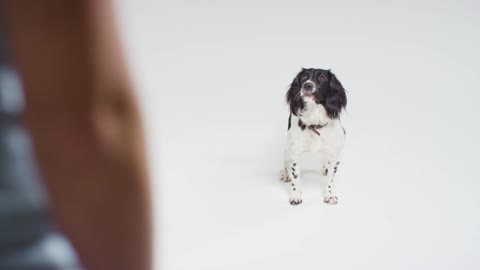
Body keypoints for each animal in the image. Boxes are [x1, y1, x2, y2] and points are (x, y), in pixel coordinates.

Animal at [280, 68, 346, 206]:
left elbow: (331, 178)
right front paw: (295, 195)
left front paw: (329, 195)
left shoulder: (335, 153)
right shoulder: (295, 152)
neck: (315, 122)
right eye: (304, 77)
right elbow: (295, 177)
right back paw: (285, 173)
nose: (307, 85)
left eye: (322, 78)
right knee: (285, 159)